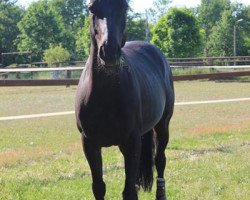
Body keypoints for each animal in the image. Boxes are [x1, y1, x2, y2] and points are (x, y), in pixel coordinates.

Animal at [75, 0, 175, 199]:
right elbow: (99, 187)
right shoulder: (89, 143)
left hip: (162, 125)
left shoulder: (132, 141)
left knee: (160, 160)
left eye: (124, 7)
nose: (109, 51)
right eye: (91, 8)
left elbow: (128, 192)